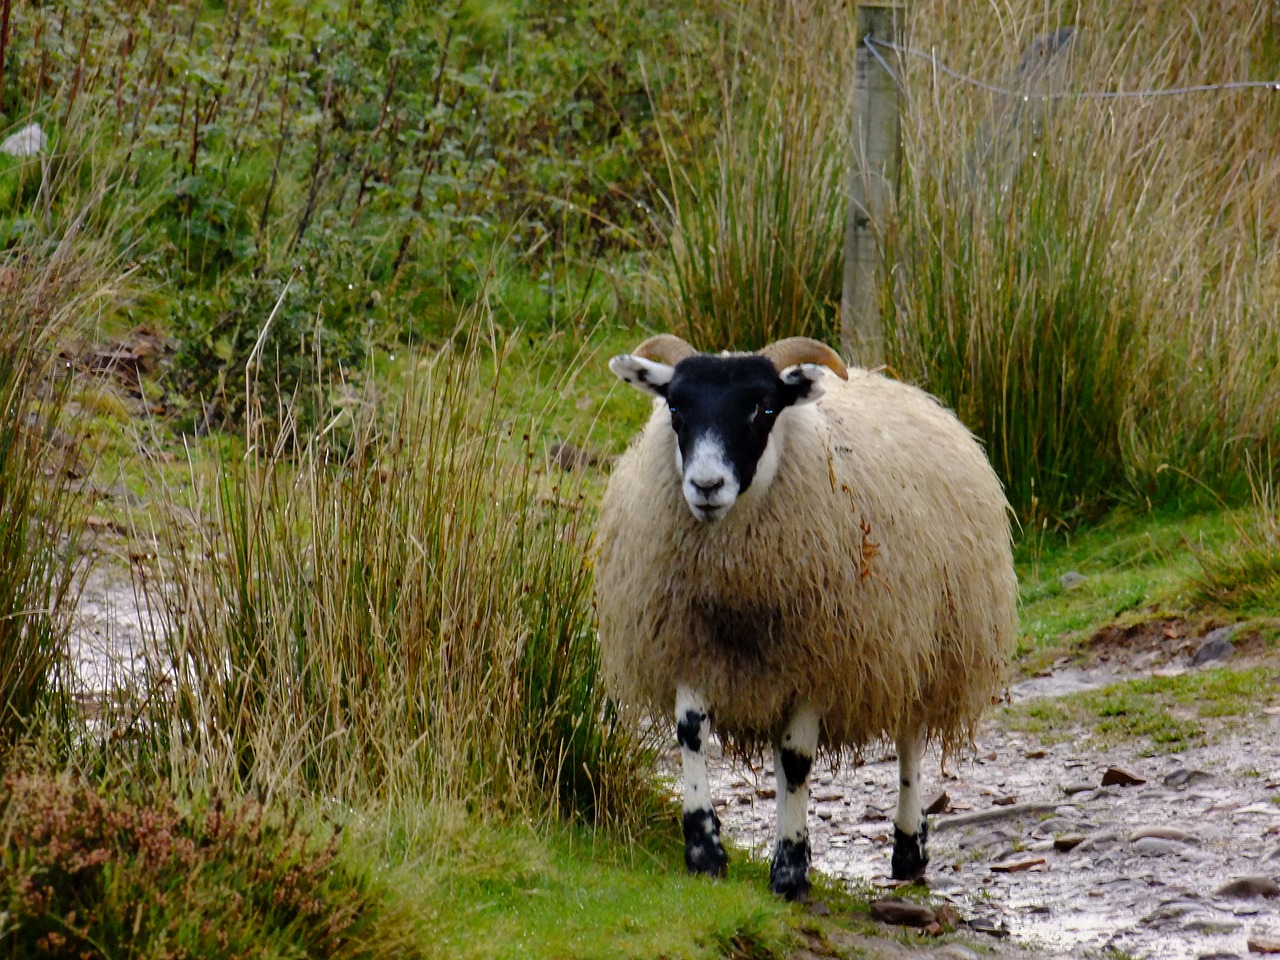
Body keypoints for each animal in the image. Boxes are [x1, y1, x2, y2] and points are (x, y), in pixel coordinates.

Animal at [591, 332, 1018, 901]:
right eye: (676, 408)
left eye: (764, 408)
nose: (706, 486)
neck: (738, 584)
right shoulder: (688, 642)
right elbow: (692, 734)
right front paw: (705, 851)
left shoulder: (822, 657)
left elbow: (797, 758)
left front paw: (790, 870)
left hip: (919, 647)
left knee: (908, 741)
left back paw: (909, 848)